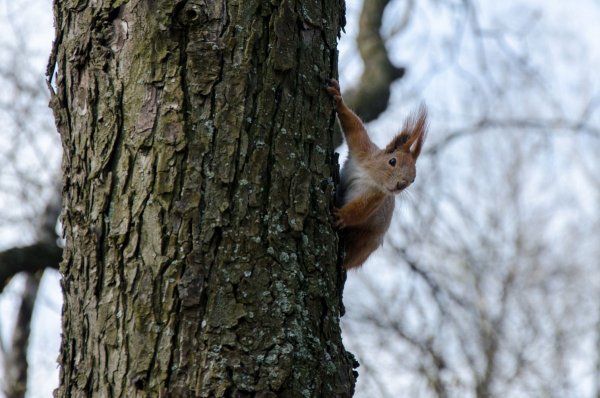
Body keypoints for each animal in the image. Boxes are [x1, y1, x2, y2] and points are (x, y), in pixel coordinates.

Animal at [328, 79, 426, 268]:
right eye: (392, 161)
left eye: (413, 180)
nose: (400, 185)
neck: (370, 175)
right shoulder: (362, 149)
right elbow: (353, 125)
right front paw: (338, 97)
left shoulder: (375, 198)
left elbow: (359, 210)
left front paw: (342, 216)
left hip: (367, 241)